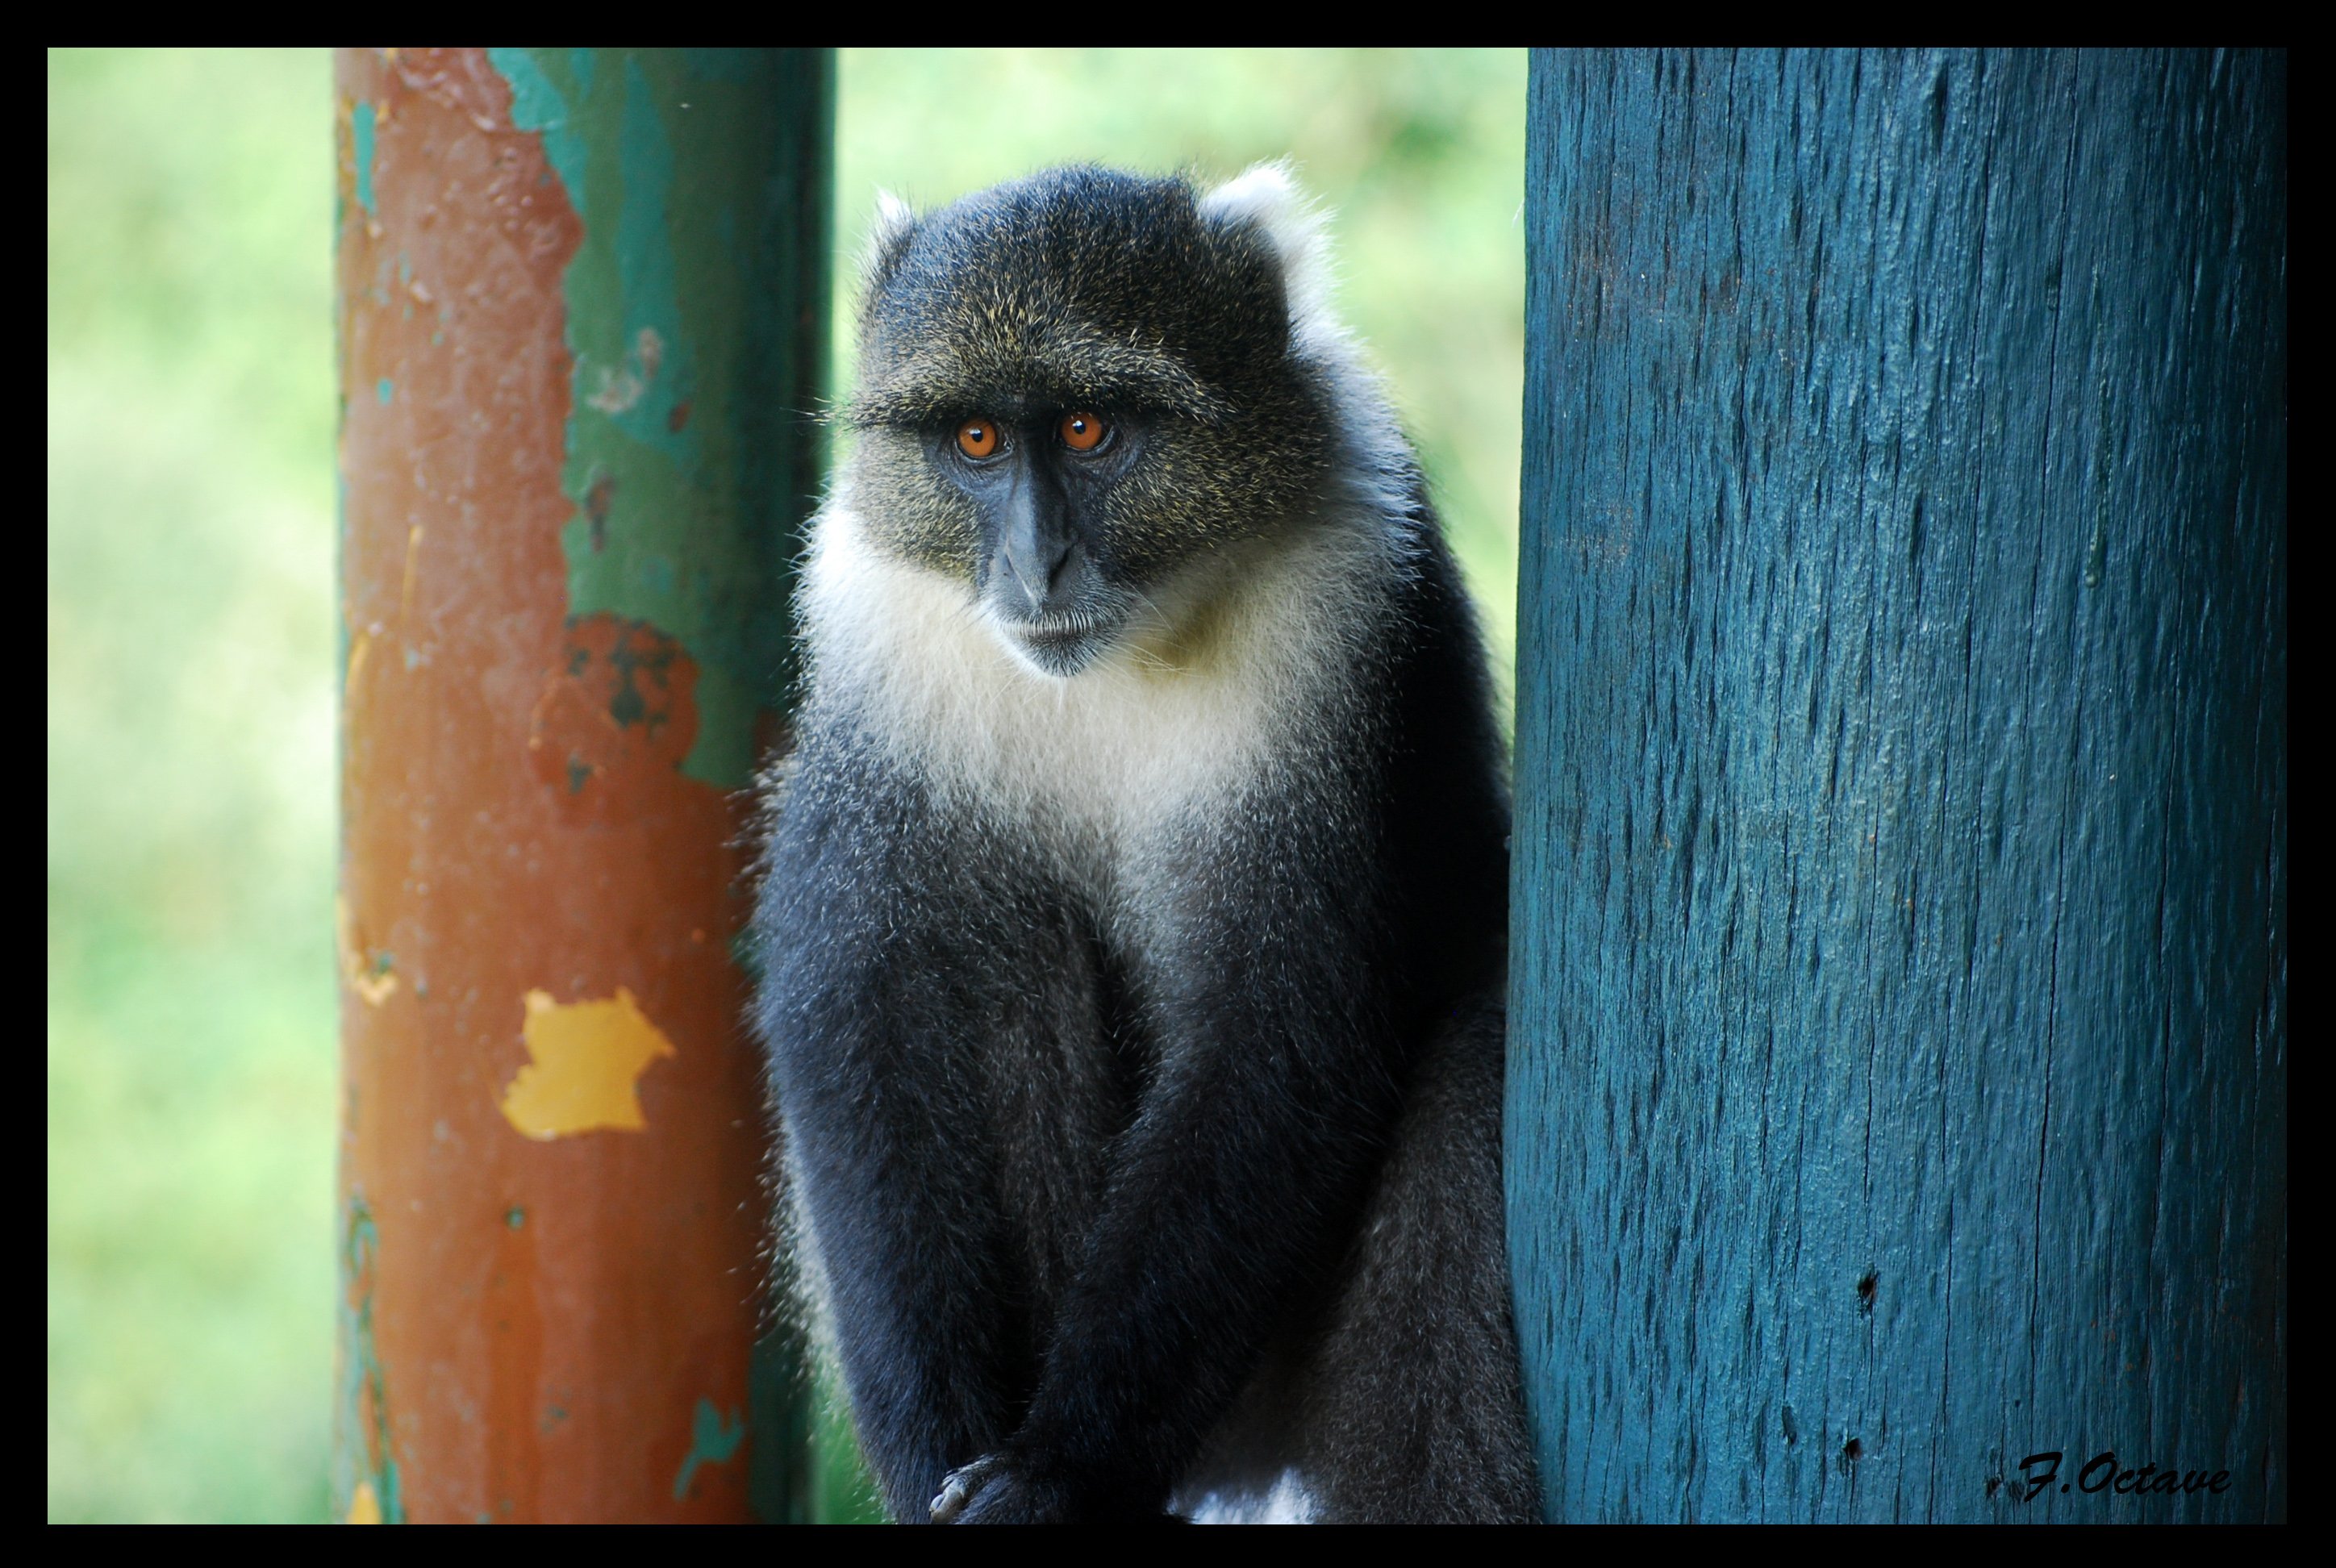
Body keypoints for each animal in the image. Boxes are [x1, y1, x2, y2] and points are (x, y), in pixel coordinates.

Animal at [757, 162, 1541, 1523]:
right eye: (975, 441)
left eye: (1088, 431)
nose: (1037, 562)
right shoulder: (869, 634)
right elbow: (863, 997)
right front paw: (931, 1452)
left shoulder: (1342, 604)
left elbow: (1281, 1022)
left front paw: (1060, 1468)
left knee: (1467, 1084)